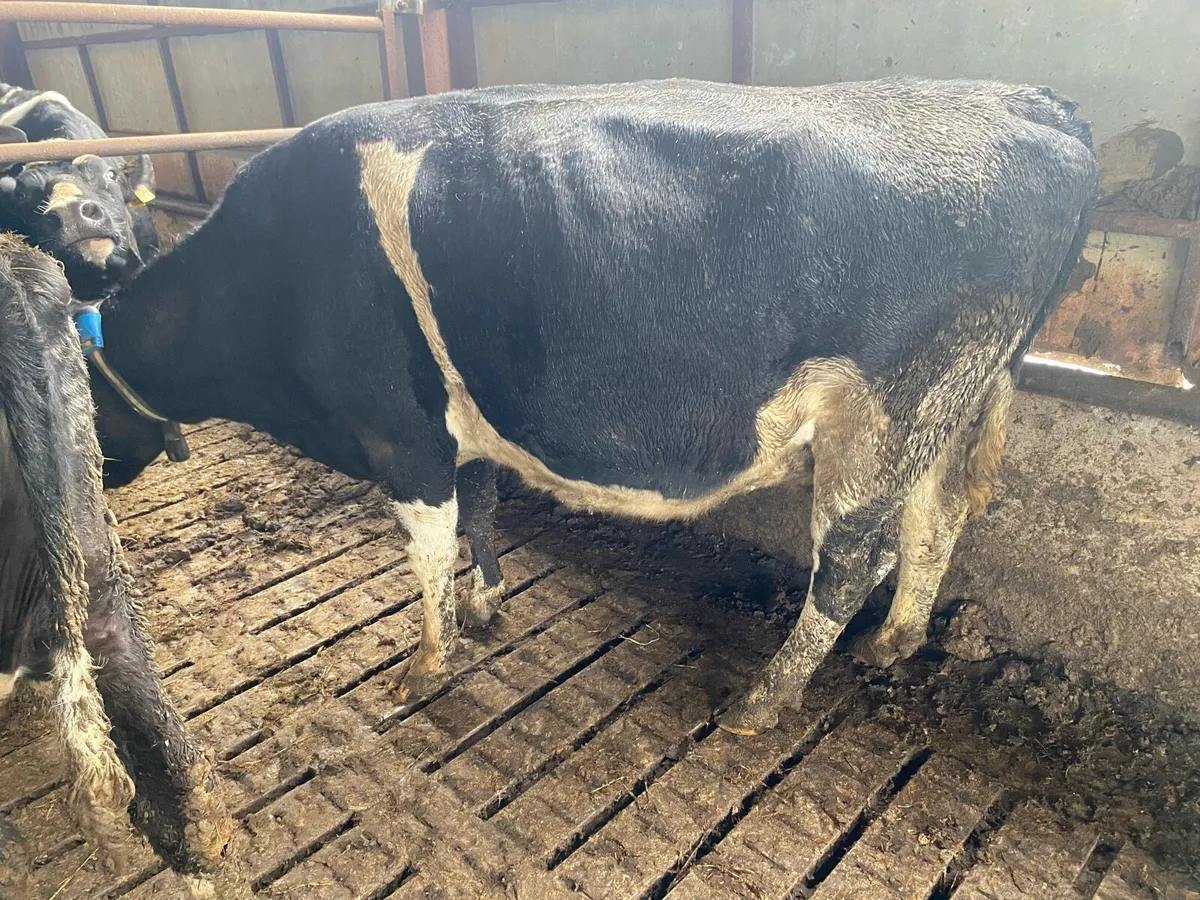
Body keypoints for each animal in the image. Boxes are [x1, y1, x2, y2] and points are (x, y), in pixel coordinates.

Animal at [87, 77, 1097, 735]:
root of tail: (1028, 102)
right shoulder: (462, 426)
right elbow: (484, 510)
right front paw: (487, 607)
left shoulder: (399, 434)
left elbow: (427, 552)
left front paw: (426, 663)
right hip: (955, 403)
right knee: (934, 525)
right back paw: (895, 643)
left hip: (890, 410)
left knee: (853, 559)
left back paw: (765, 701)